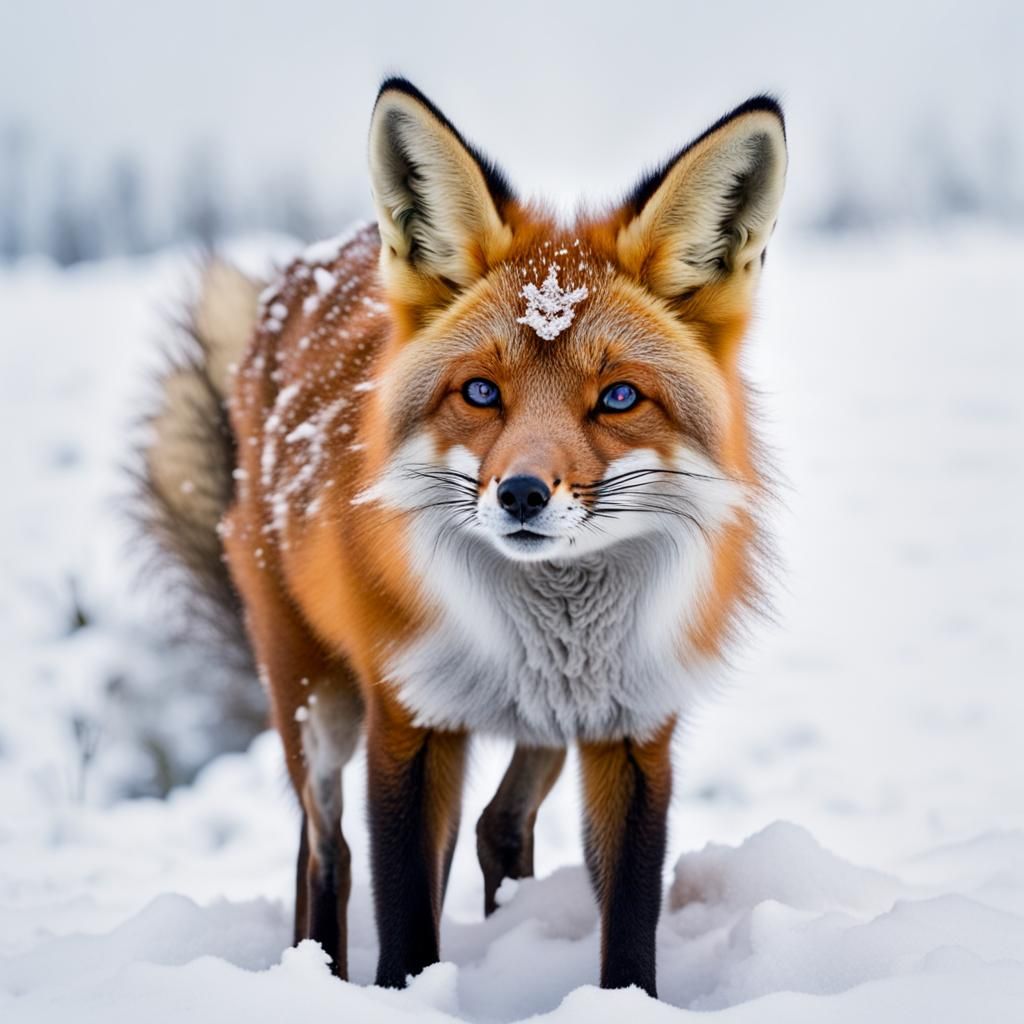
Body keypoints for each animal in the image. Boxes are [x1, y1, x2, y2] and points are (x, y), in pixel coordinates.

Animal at [141, 77, 786, 998]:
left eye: (619, 398)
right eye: (481, 392)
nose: (520, 494)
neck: (547, 634)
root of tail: (298, 274)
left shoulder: (633, 726)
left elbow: (628, 928)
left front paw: (625, 1005)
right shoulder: (410, 719)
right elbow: (407, 920)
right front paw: (404, 999)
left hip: (544, 731)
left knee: (496, 827)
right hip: (315, 704)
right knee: (326, 851)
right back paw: (317, 969)